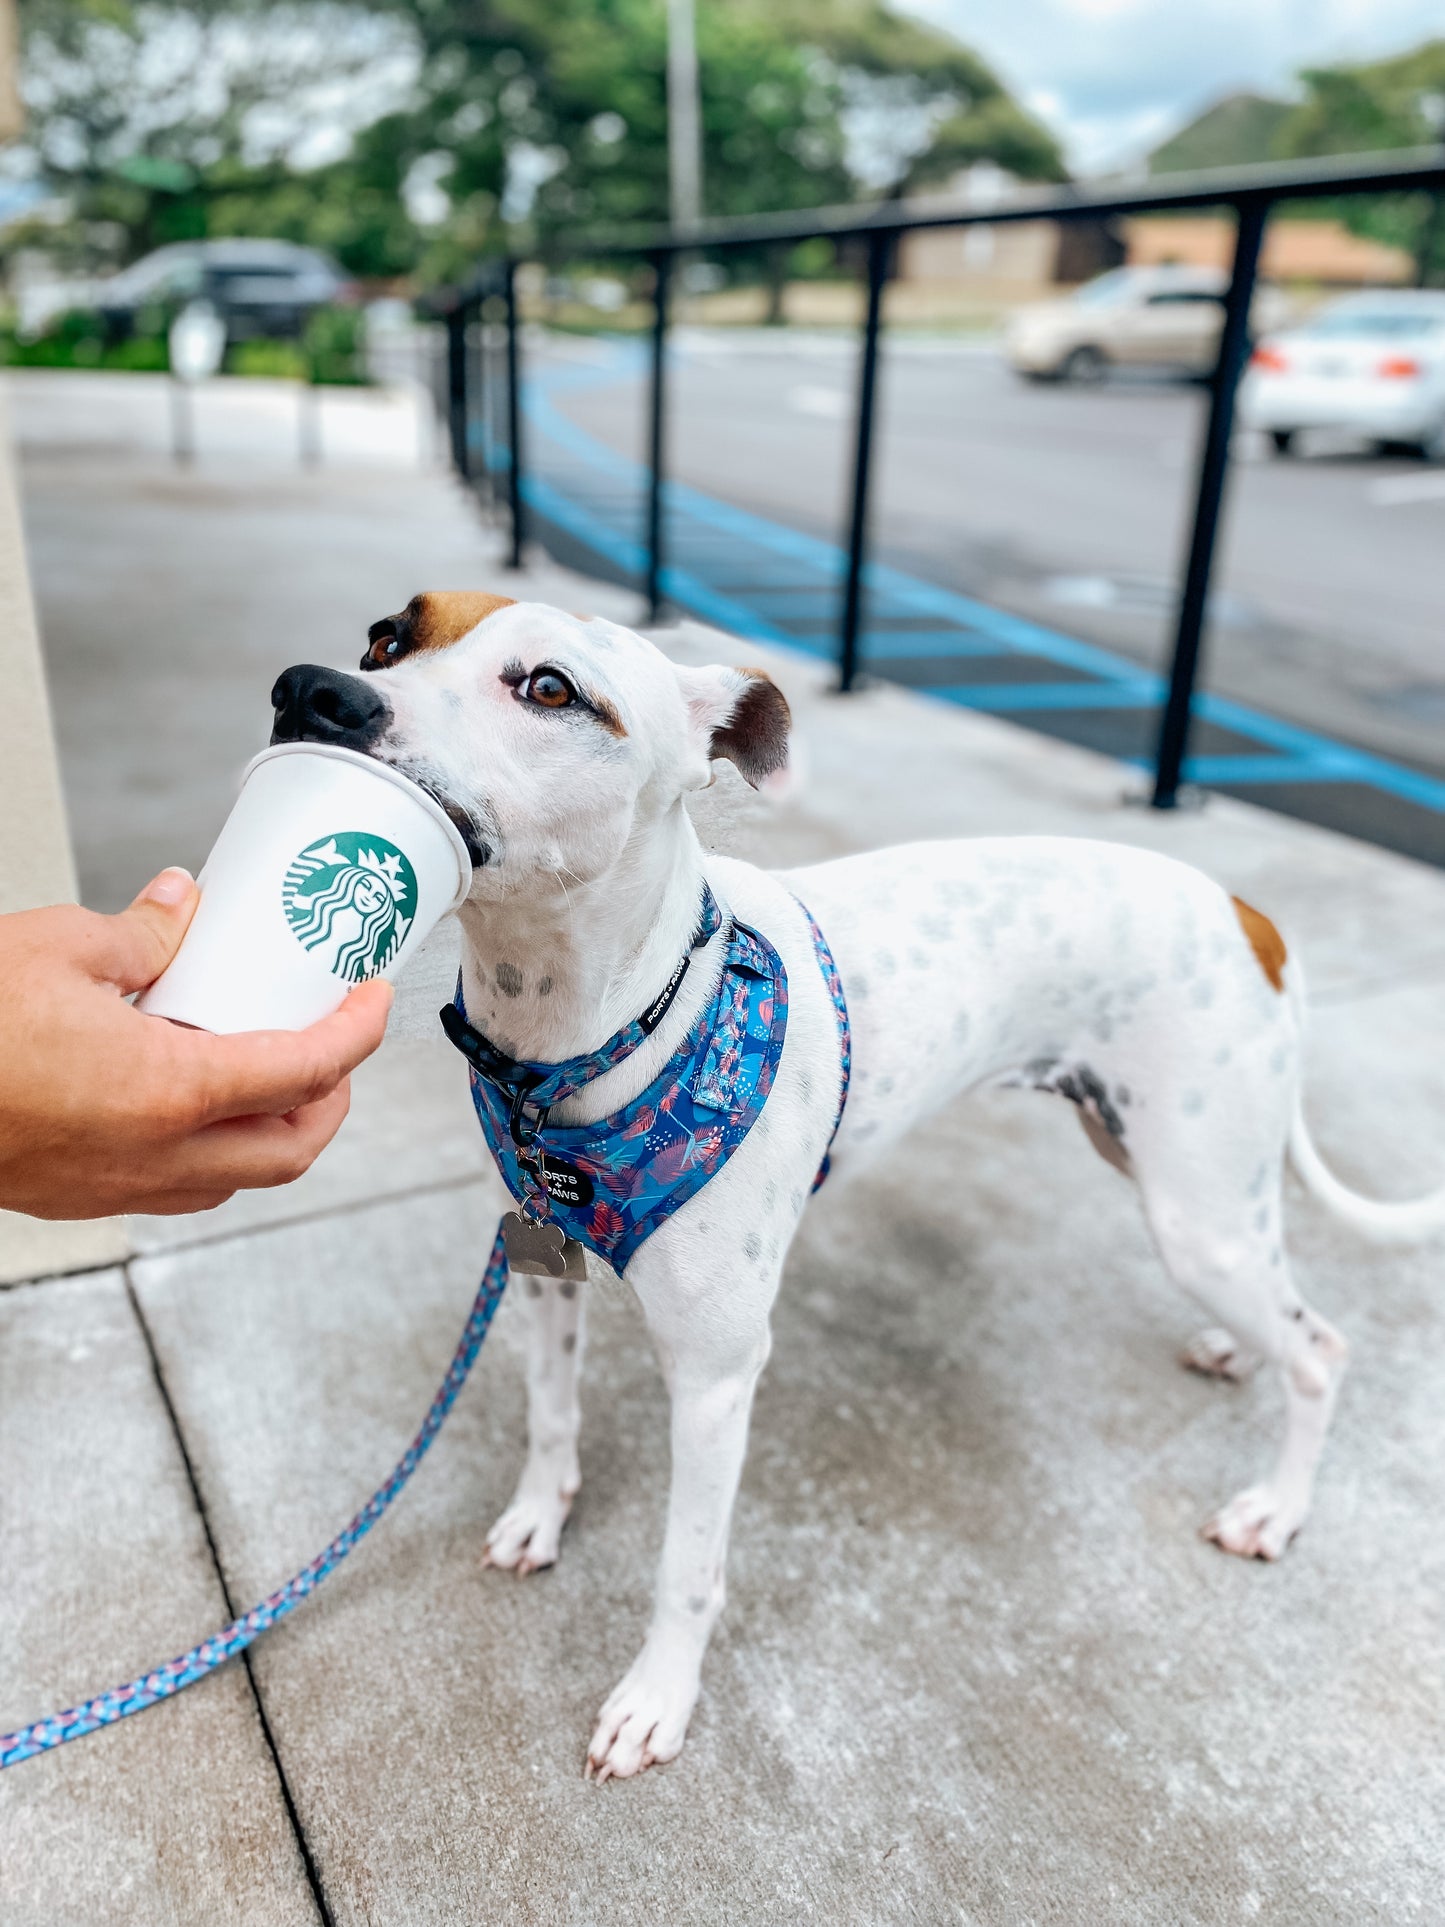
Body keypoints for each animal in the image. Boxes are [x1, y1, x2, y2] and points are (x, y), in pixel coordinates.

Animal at [273, 593, 1445, 1780]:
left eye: (551, 688)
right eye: (386, 636)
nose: (311, 692)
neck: (598, 1031)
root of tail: (1245, 908)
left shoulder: (715, 1375)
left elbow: (685, 1567)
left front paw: (657, 1700)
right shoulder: (540, 1265)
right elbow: (551, 1416)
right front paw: (538, 1518)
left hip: (1193, 1210)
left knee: (1319, 1348)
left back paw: (1274, 1506)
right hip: (1164, 1165)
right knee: (1278, 1302)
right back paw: (1233, 1351)